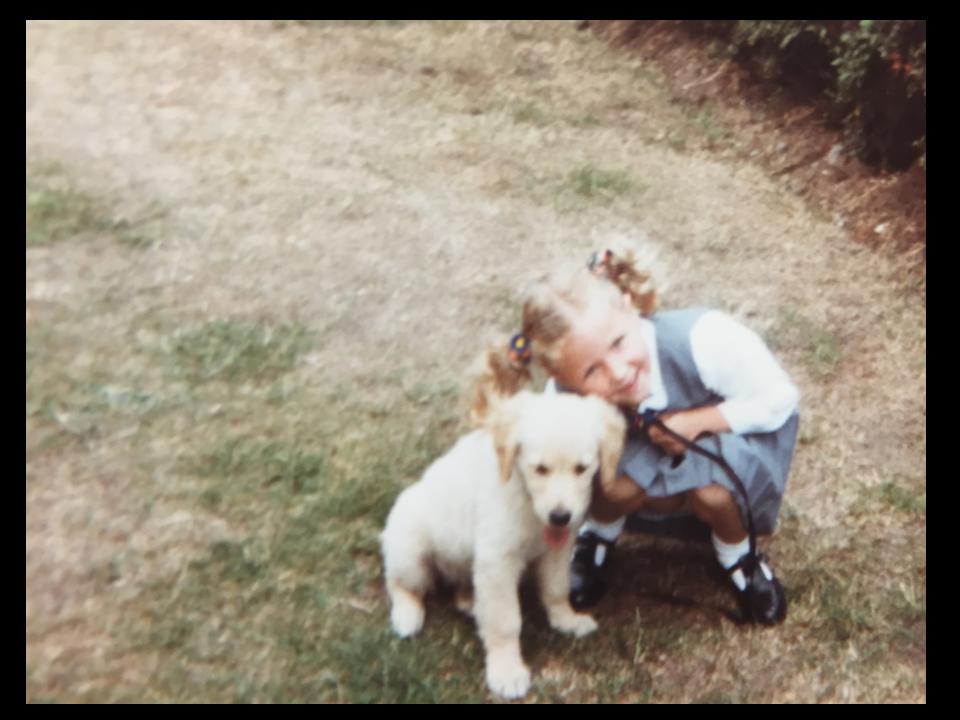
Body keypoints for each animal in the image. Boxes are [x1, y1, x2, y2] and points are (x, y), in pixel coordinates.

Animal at [380, 390, 626, 699]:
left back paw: (470, 601)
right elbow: (505, 621)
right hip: (410, 547)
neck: (525, 497)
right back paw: (407, 615)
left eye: (581, 468)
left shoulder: (558, 549)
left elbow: (557, 588)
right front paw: (506, 670)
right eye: (540, 469)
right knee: (401, 585)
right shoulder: (498, 560)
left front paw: (566, 619)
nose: (560, 517)